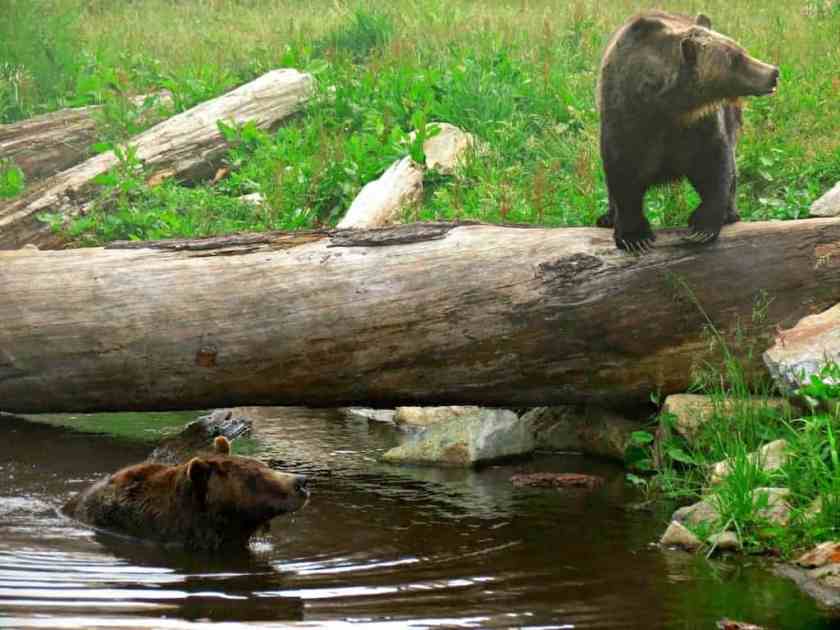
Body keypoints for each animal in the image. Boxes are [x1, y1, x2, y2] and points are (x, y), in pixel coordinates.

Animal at [596, 10, 779, 251]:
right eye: (736, 58)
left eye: (741, 50)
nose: (773, 72)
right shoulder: (626, 118)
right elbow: (623, 171)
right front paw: (635, 237)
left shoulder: (698, 125)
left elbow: (714, 164)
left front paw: (702, 227)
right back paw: (607, 217)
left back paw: (730, 213)